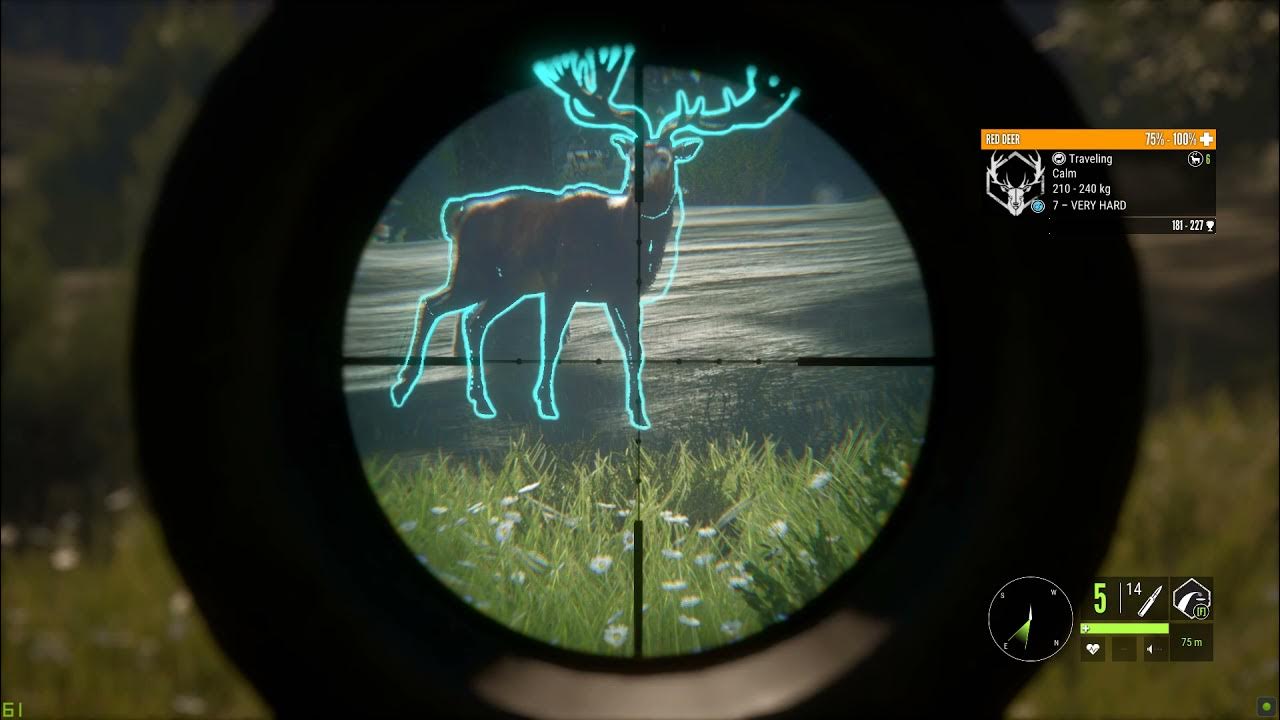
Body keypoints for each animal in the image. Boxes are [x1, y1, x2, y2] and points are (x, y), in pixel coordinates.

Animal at [389, 44, 799, 430]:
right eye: (630, 154)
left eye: (665, 157)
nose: (635, 177)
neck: (619, 243)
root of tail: (458, 212)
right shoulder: (562, 282)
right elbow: (551, 342)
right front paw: (547, 406)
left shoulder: (621, 294)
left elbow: (634, 348)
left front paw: (639, 414)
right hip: (476, 271)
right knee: (432, 304)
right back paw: (404, 387)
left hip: (510, 283)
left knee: (472, 321)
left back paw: (480, 401)